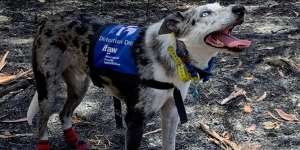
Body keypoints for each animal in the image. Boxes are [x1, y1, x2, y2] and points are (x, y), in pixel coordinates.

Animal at [27, 2, 251, 150]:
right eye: (205, 13)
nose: (240, 8)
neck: (174, 55)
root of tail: (49, 19)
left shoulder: (171, 112)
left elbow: (169, 144)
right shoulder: (135, 120)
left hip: (79, 86)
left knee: (63, 114)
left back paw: (74, 141)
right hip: (48, 89)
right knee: (41, 124)